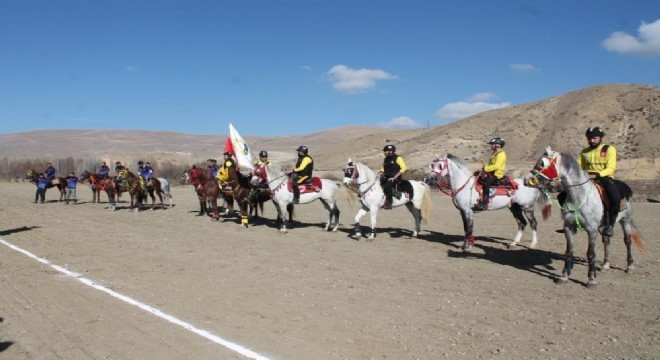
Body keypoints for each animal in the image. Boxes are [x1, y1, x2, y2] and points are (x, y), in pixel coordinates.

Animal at [524, 145, 640, 288]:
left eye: (542, 163)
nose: (527, 180)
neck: (578, 196)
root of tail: (625, 188)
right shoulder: (568, 228)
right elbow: (569, 251)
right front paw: (564, 276)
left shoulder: (591, 230)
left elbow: (590, 253)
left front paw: (591, 279)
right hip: (604, 226)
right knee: (606, 240)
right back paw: (606, 265)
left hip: (625, 220)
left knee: (627, 241)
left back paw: (630, 267)